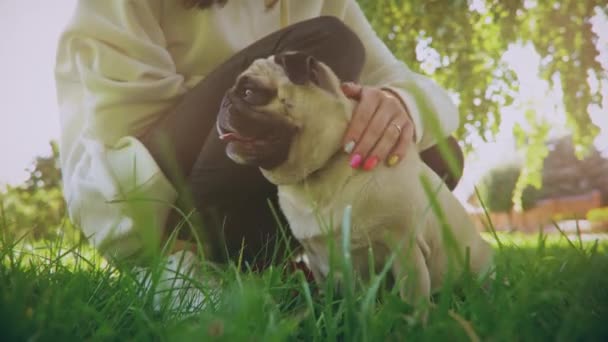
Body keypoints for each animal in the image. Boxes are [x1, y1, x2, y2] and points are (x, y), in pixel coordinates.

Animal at [217, 52, 494, 304]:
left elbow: (412, 300)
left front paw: (412, 323)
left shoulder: (405, 249)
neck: (318, 176)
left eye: (249, 92)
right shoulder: (316, 259)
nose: (223, 103)